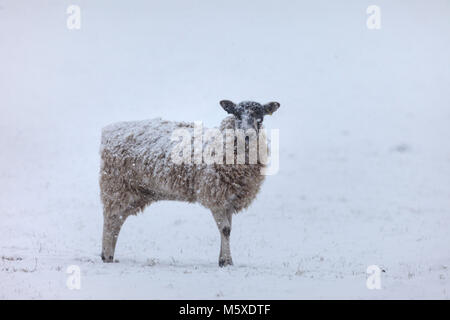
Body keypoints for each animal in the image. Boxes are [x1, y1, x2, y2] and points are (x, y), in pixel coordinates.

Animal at [100, 99, 280, 266]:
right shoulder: (215, 196)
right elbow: (225, 229)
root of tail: (109, 130)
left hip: (135, 192)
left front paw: (223, 260)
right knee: (110, 220)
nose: (248, 135)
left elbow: (228, 229)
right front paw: (226, 261)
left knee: (117, 222)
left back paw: (108, 255)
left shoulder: (229, 198)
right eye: (236, 115)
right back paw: (107, 256)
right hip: (116, 187)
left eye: (260, 118)